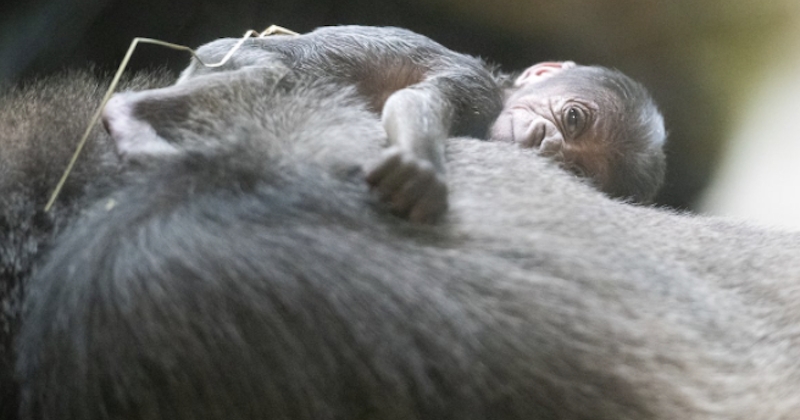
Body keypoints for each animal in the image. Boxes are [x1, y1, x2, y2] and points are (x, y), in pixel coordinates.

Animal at [103, 25, 664, 223]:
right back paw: (125, 116)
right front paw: (419, 171)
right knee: (274, 74)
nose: (548, 144)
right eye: (572, 118)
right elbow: (415, 100)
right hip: (232, 54)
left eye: (577, 171)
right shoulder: (476, 87)